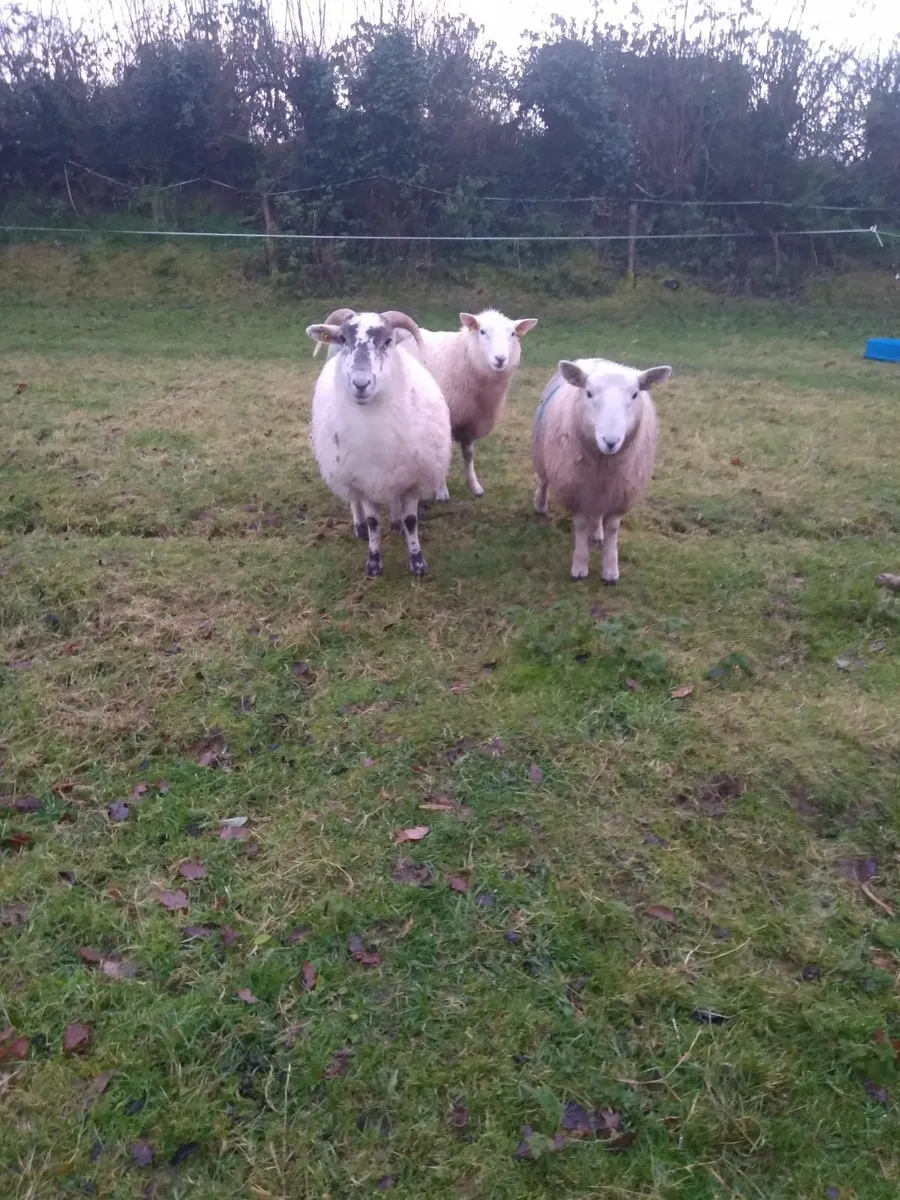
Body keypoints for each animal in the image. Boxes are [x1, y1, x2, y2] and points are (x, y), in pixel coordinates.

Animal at [305, 310, 451, 578]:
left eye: (388, 341)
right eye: (343, 339)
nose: (361, 383)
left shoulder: (411, 479)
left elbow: (411, 520)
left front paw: (417, 561)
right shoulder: (363, 481)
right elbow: (373, 522)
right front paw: (373, 563)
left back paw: (396, 522)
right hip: (344, 470)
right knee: (354, 502)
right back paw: (360, 527)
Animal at [399, 309, 538, 500]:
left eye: (512, 334)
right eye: (482, 332)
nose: (500, 359)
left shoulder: (472, 420)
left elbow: (468, 454)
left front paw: (474, 485)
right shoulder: (446, 417)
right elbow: (445, 451)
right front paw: (441, 490)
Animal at [532, 357, 672, 583]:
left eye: (635, 394)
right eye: (588, 393)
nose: (611, 441)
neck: (604, 464)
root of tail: (599, 360)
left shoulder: (620, 496)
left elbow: (613, 529)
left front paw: (610, 571)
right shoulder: (575, 493)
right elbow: (580, 526)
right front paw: (580, 567)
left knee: (597, 514)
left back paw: (597, 533)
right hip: (541, 453)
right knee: (544, 481)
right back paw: (540, 505)